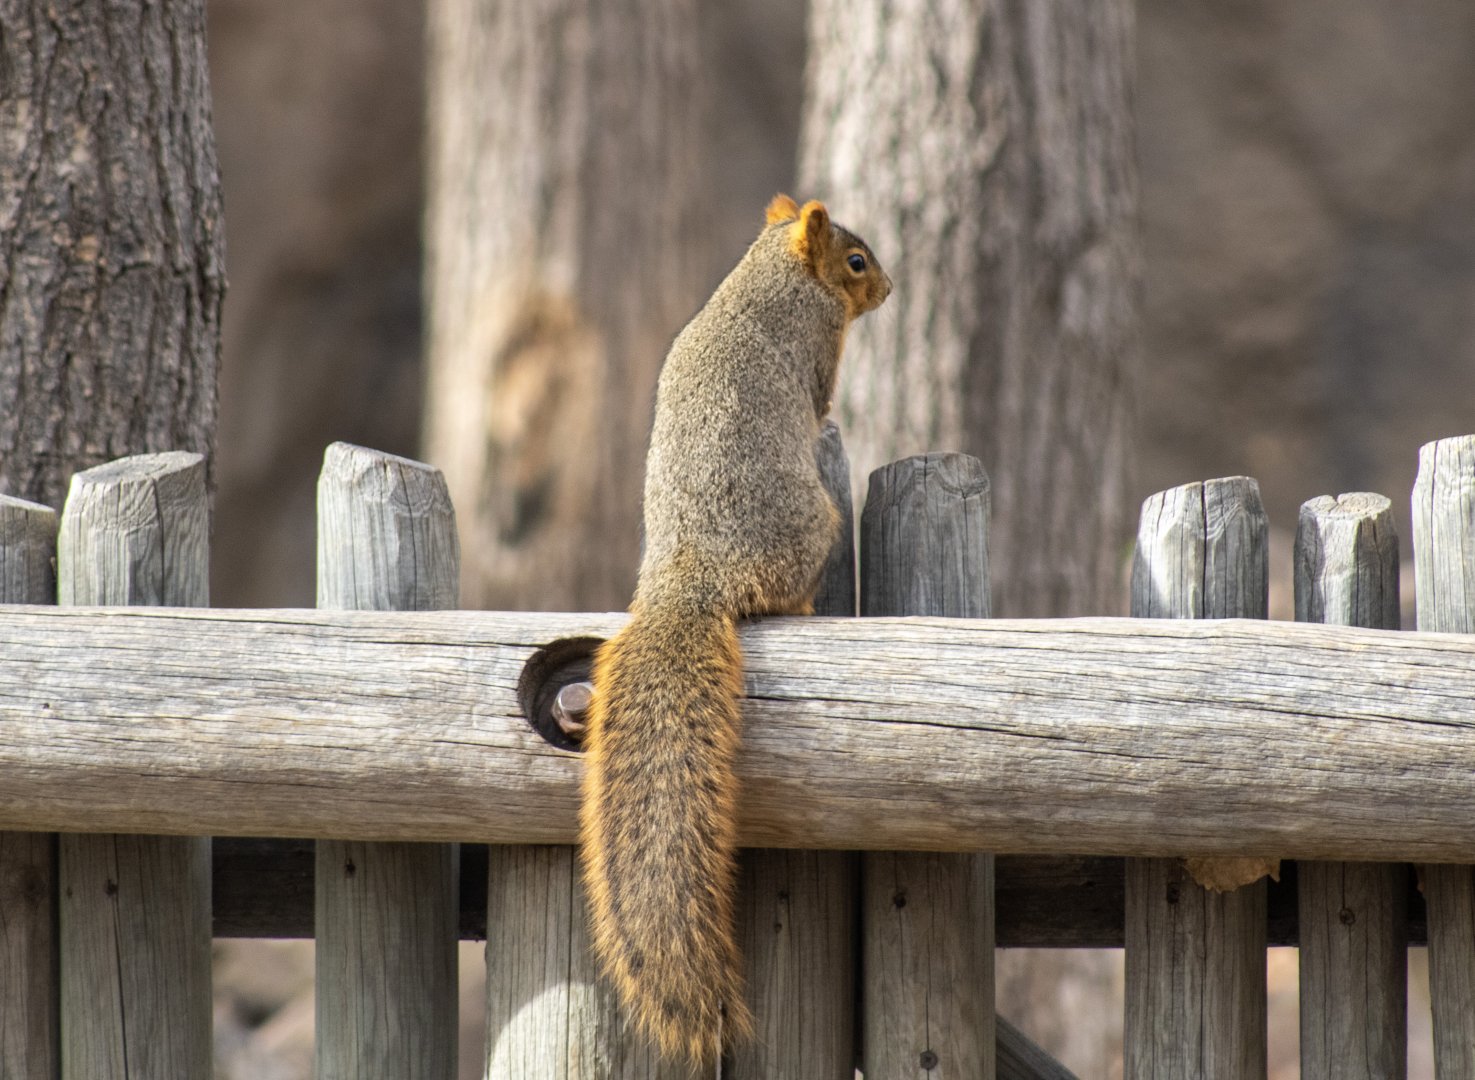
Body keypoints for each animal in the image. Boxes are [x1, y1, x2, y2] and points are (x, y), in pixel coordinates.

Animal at [579, 193, 891, 1064]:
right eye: (855, 262)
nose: (887, 286)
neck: (768, 271)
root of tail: (687, 582)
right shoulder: (819, 351)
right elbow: (821, 402)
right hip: (811, 530)